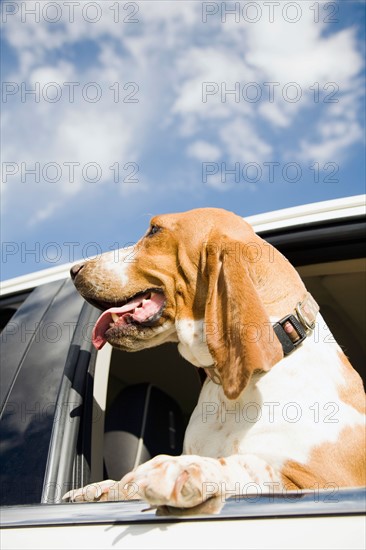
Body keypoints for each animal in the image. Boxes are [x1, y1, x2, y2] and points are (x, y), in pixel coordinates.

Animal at [64, 208, 364, 512]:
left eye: (154, 230)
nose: (74, 270)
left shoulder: (326, 481)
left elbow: (251, 465)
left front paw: (180, 469)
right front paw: (100, 487)